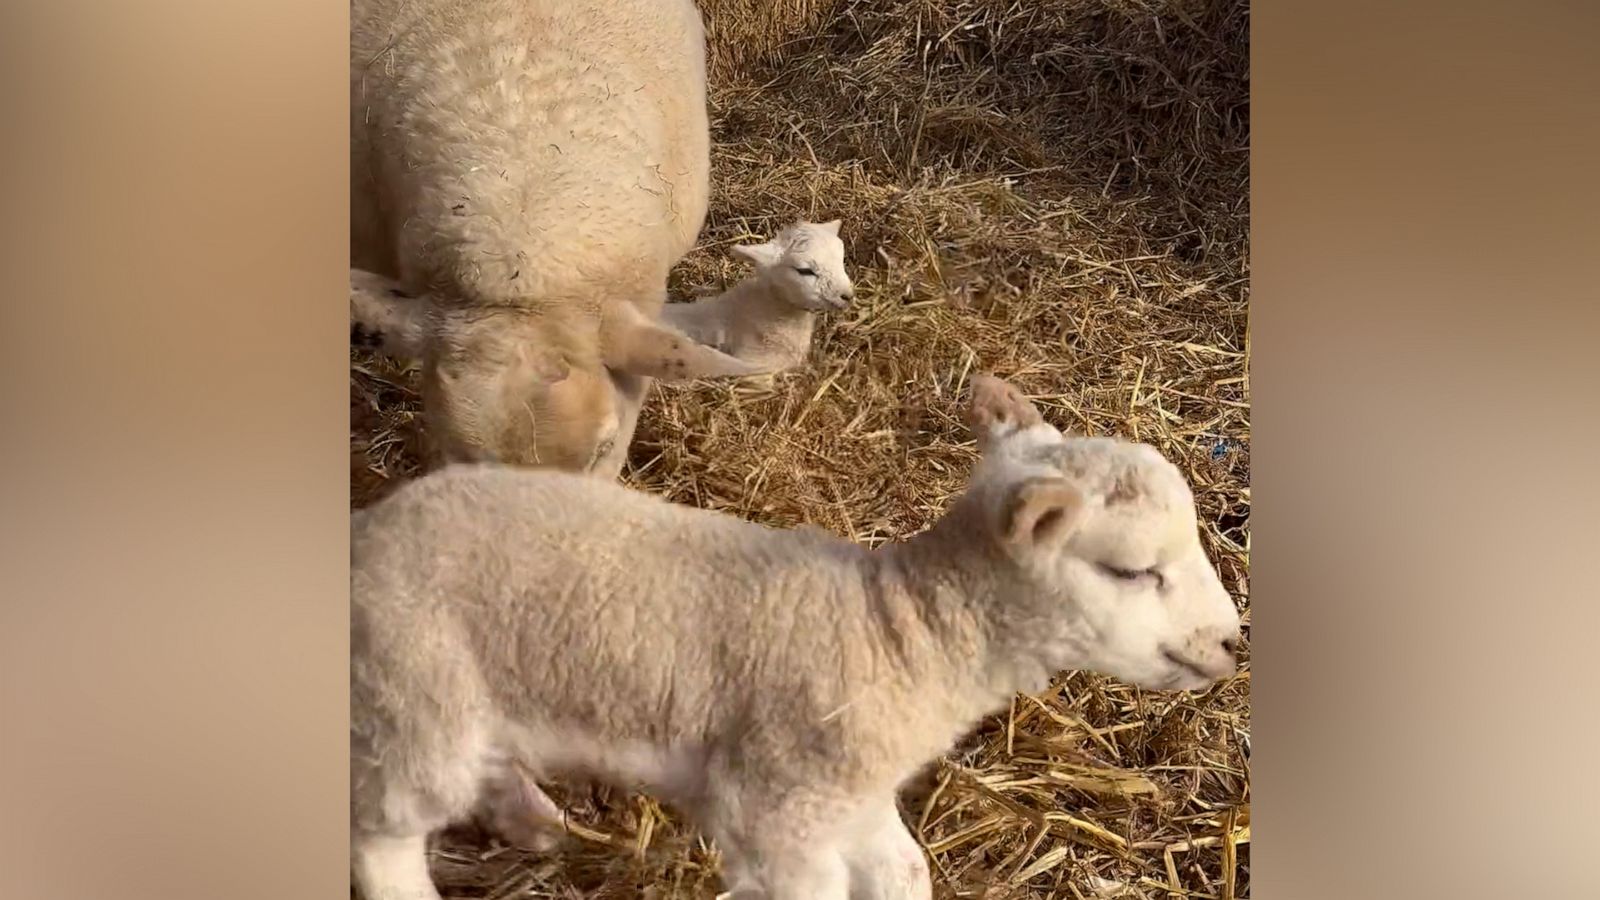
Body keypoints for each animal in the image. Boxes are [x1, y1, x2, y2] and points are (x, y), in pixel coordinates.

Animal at [353, 369, 1248, 896]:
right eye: (1133, 571)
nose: (1233, 643)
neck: (904, 631)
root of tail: (371, 528)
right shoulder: (782, 809)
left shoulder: (856, 795)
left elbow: (904, 873)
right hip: (415, 691)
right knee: (383, 839)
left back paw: (536, 821)